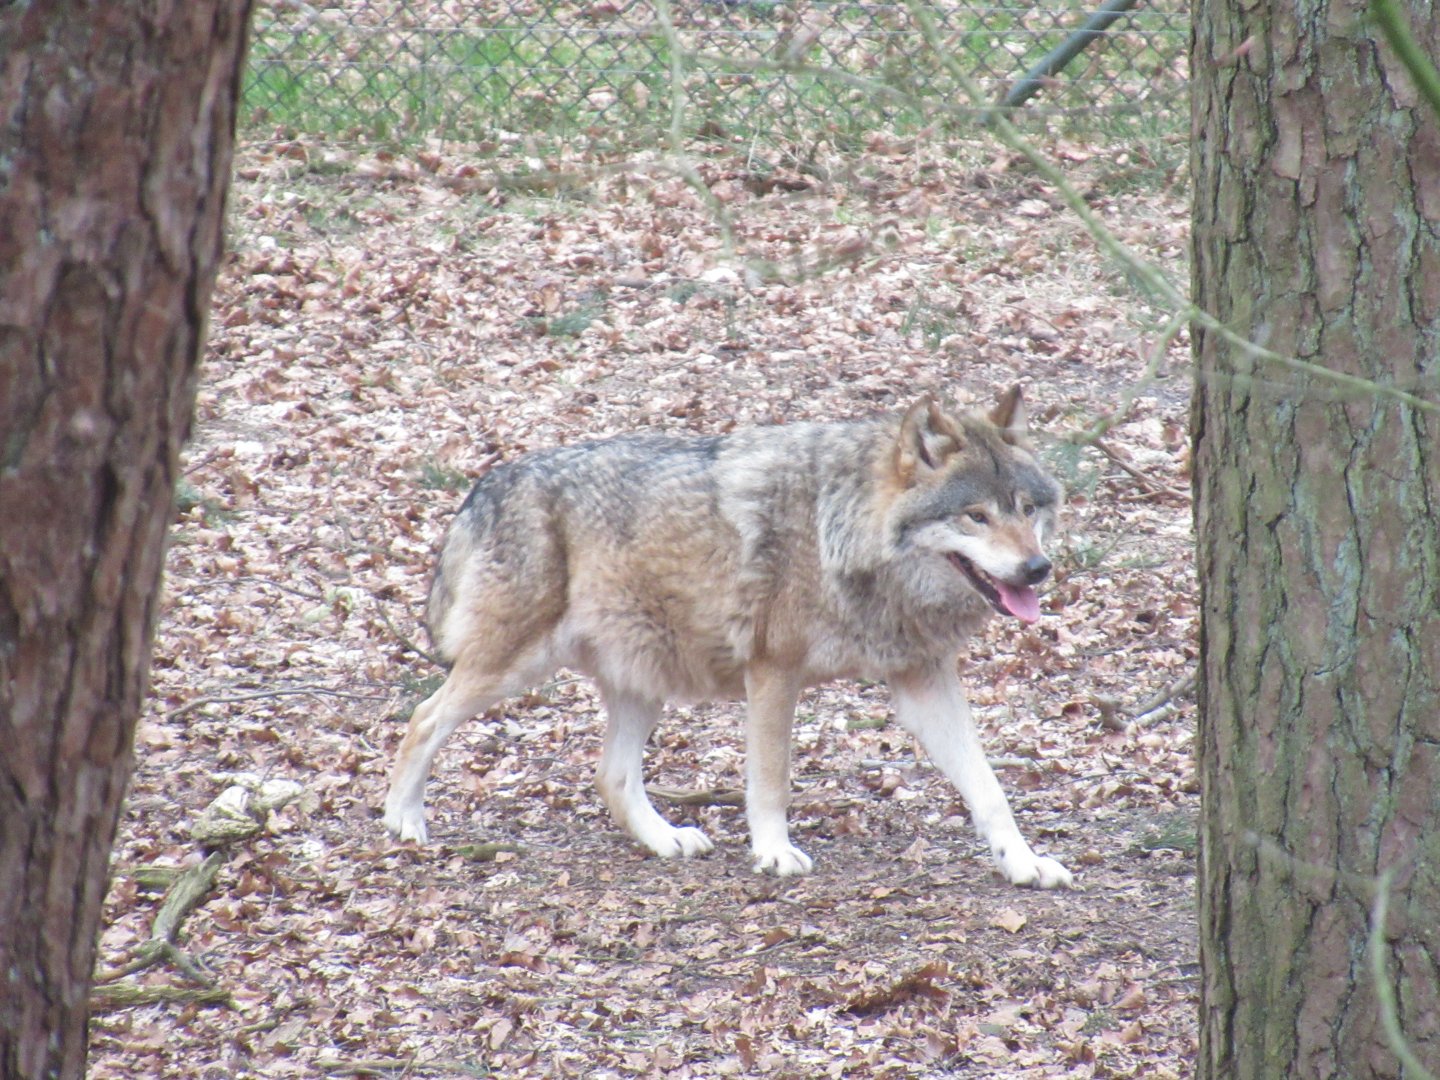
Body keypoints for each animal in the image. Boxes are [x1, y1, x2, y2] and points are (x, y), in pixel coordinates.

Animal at [383, 386, 1072, 888]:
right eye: (975, 516)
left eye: (1026, 509)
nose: (1037, 569)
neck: (839, 532)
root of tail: (488, 482)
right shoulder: (772, 671)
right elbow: (771, 779)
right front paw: (773, 853)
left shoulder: (923, 679)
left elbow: (989, 788)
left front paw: (1023, 862)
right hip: (514, 668)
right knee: (422, 717)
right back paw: (403, 821)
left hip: (644, 679)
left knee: (611, 777)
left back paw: (666, 839)